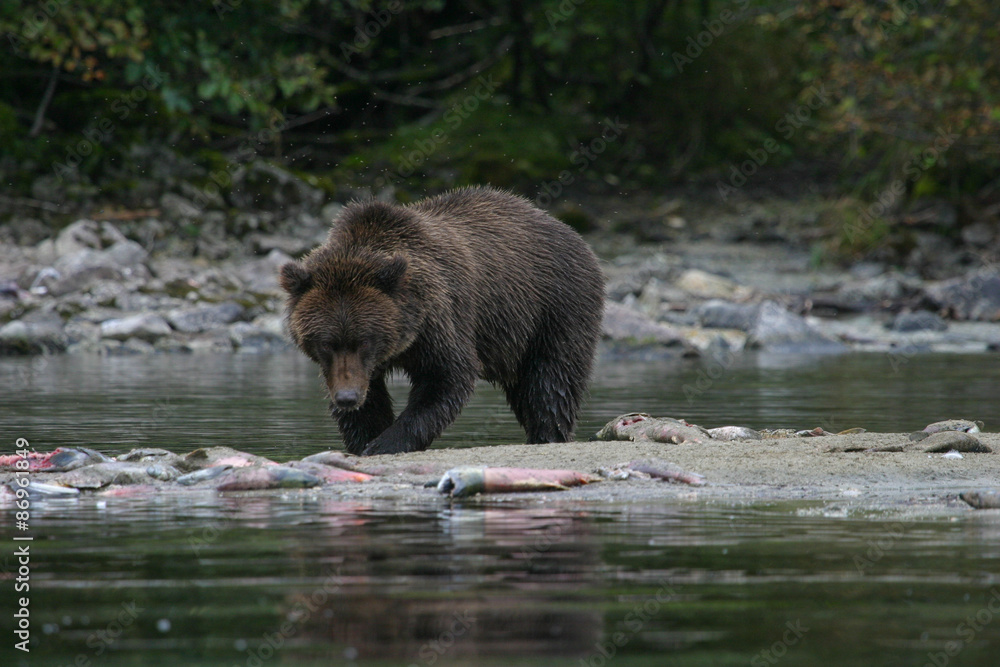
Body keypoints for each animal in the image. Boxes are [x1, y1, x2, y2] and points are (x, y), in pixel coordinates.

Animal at [280, 188, 600, 460]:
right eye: (326, 343)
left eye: (365, 340)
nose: (347, 397)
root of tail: (566, 229)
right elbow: (369, 401)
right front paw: (365, 438)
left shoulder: (439, 319)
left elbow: (447, 377)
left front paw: (385, 442)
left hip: (554, 307)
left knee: (551, 382)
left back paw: (548, 434)